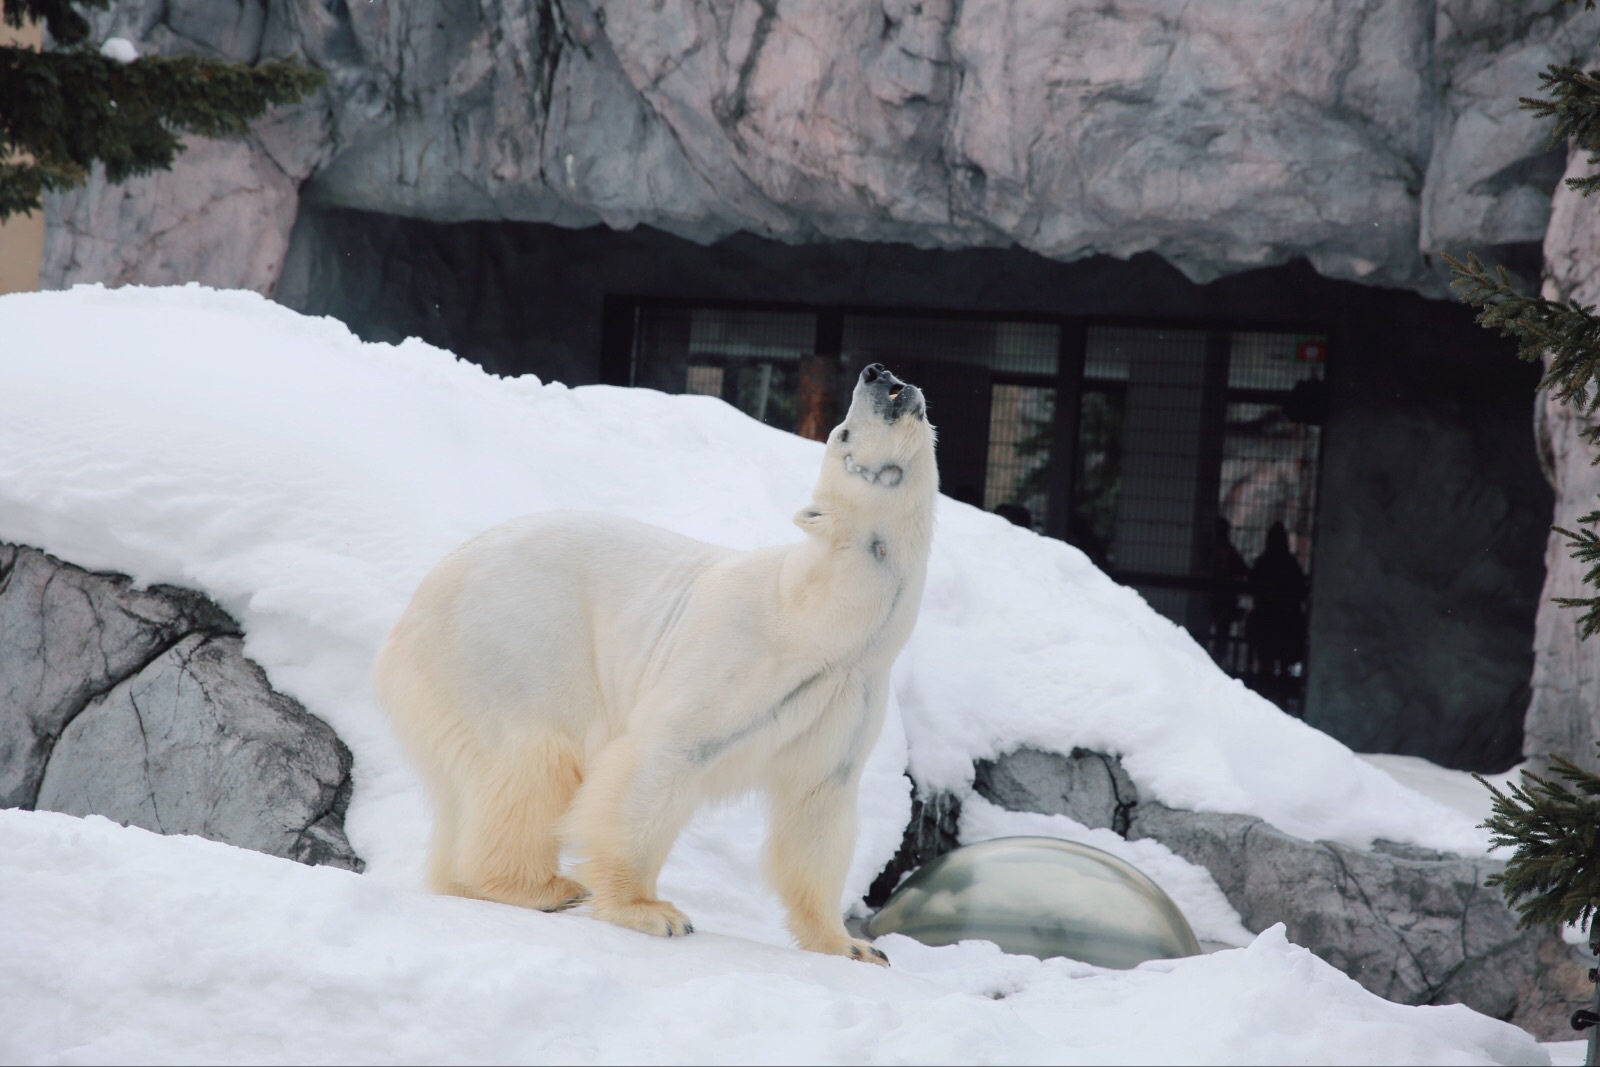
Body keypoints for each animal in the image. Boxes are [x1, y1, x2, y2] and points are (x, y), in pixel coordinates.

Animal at [372, 363, 934, 966]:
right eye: (842, 435)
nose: (878, 372)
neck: (823, 622)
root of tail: (408, 619)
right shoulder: (742, 654)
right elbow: (661, 755)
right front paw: (650, 911)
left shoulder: (848, 694)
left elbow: (817, 808)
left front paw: (851, 946)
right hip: (506, 647)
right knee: (533, 761)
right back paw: (543, 887)